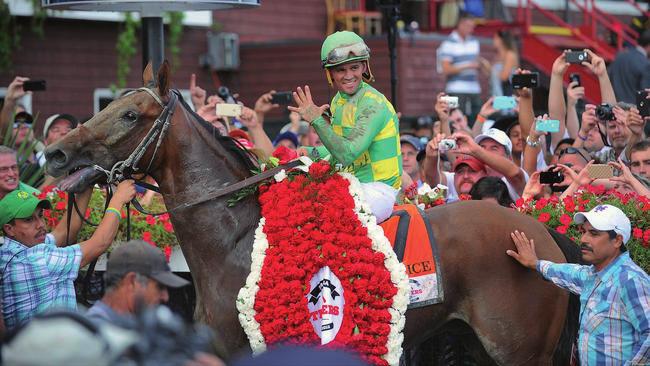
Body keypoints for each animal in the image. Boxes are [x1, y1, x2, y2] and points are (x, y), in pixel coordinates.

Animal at [43, 64, 576, 364]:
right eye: (110, 104)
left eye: (131, 115)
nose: (54, 154)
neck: (234, 239)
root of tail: (544, 235)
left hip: (521, 351)